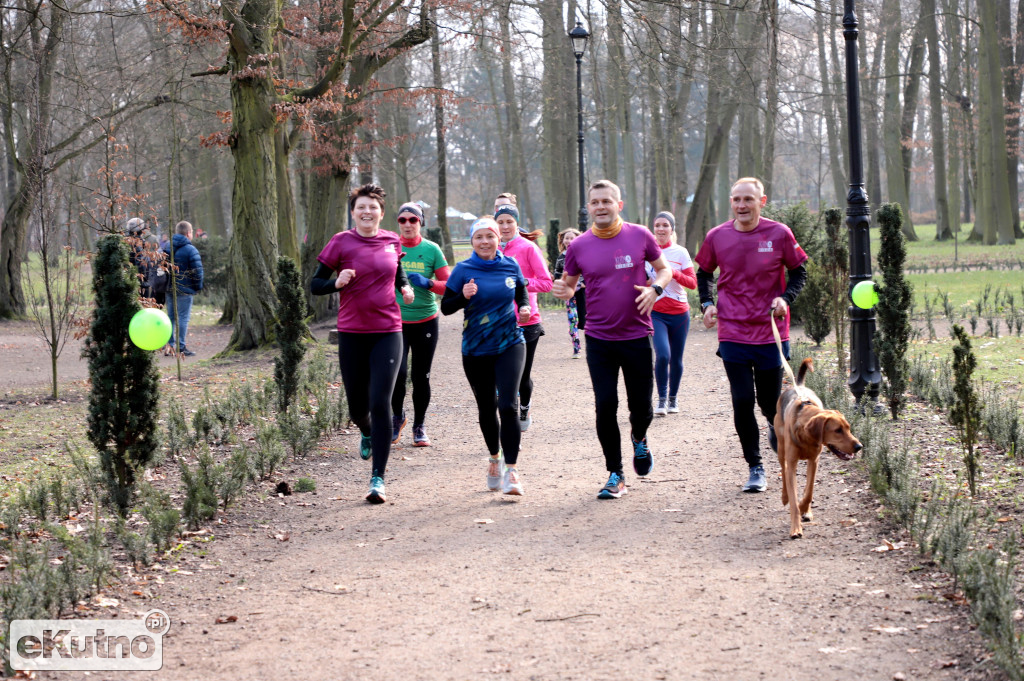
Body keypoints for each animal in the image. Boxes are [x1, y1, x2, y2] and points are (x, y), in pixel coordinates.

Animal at [770, 358, 860, 540]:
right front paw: (796, 527)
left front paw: (805, 508)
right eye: (837, 430)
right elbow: (793, 498)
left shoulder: (814, 460)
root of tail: (797, 385)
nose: (859, 446)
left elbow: (809, 490)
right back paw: (784, 496)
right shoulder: (792, 464)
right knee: (783, 470)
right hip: (781, 449)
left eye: (848, 428)